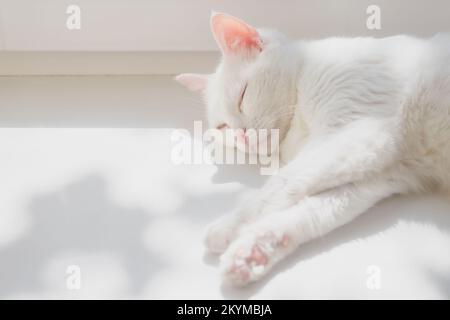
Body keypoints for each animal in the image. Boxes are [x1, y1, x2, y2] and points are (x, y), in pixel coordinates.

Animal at [175, 11, 450, 288]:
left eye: (242, 96)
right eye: (222, 127)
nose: (241, 137)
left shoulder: (357, 134)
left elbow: (280, 184)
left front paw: (229, 227)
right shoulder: (383, 173)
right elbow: (313, 212)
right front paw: (253, 252)